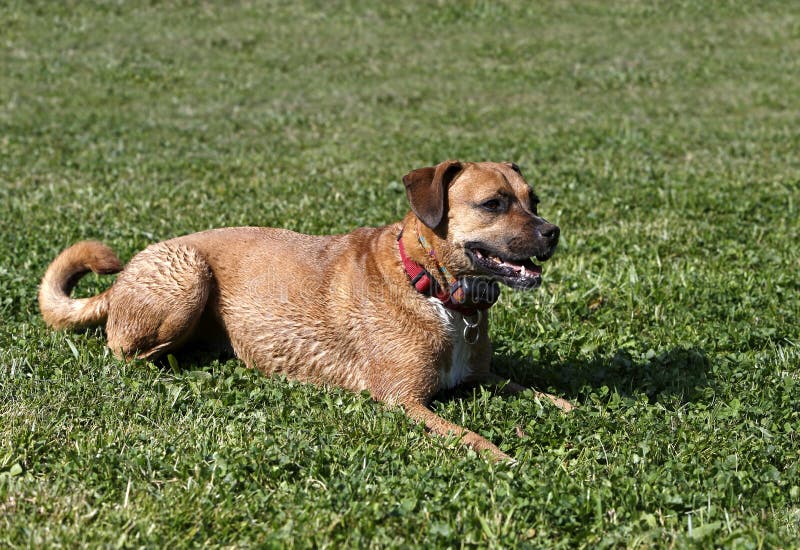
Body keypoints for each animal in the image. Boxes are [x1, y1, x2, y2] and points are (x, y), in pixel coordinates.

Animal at [40, 162, 572, 464]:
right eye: (493, 203)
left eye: (534, 200)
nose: (553, 231)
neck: (435, 290)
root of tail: (122, 277)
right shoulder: (403, 401)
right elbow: (470, 437)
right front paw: (503, 457)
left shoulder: (480, 377)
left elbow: (540, 392)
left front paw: (574, 408)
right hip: (187, 275)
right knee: (125, 350)